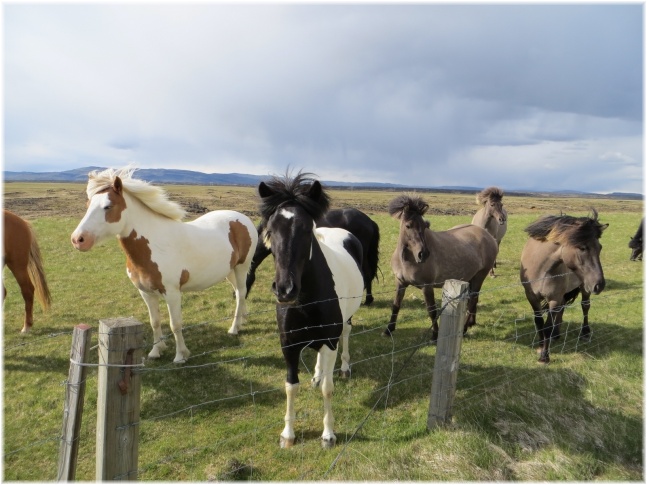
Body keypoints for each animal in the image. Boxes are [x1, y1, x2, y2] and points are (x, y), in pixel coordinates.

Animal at [72, 168, 260, 362]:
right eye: (88, 204)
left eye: (108, 206)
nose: (78, 239)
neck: (154, 245)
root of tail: (242, 218)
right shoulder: (146, 293)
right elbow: (154, 322)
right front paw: (156, 351)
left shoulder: (172, 293)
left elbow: (175, 324)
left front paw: (180, 355)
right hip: (229, 271)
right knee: (239, 292)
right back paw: (243, 319)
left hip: (241, 267)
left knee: (241, 292)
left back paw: (234, 328)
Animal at [260, 172, 370, 448]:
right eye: (270, 230)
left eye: (306, 230)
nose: (285, 290)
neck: (305, 301)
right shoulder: (288, 345)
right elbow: (291, 386)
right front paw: (287, 434)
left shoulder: (330, 341)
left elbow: (328, 389)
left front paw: (328, 434)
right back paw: (318, 374)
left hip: (344, 323)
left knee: (346, 335)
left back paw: (344, 368)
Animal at [388, 193, 498, 340]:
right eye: (408, 225)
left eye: (425, 226)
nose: (423, 254)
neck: (406, 259)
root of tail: (489, 236)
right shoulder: (400, 282)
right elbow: (396, 306)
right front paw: (388, 329)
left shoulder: (427, 286)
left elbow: (432, 311)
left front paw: (435, 335)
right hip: (471, 277)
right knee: (473, 300)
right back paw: (470, 323)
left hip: (480, 276)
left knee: (473, 300)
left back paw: (464, 329)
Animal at [520, 209, 612, 364]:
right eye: (582, 247)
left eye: (599, 248)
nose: (599, 285)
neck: (541, 269)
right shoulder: (531, 296)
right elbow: (539, 322)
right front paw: (540, 346)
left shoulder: (554, 298)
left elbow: (547, 327)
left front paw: (544, 356)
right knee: (562, 308)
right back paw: (556, 334)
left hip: (584, 287)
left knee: (585, 306)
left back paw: (585, 333)